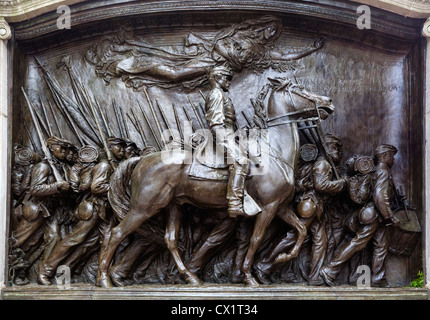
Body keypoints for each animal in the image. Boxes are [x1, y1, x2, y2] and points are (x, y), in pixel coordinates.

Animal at [96, 78, 336, 288]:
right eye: (301, 90)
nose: (329, 101)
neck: (274, 151)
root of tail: (142, 160)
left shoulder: (281, 207)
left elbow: (301, 230)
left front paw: (282, 258)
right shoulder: (268, 208)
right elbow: (255, 240)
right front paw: (249, 276)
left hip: (173, 206)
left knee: (170, 239)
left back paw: (190, 277)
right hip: (144, 207)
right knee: (116, 233)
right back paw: (104, 279)